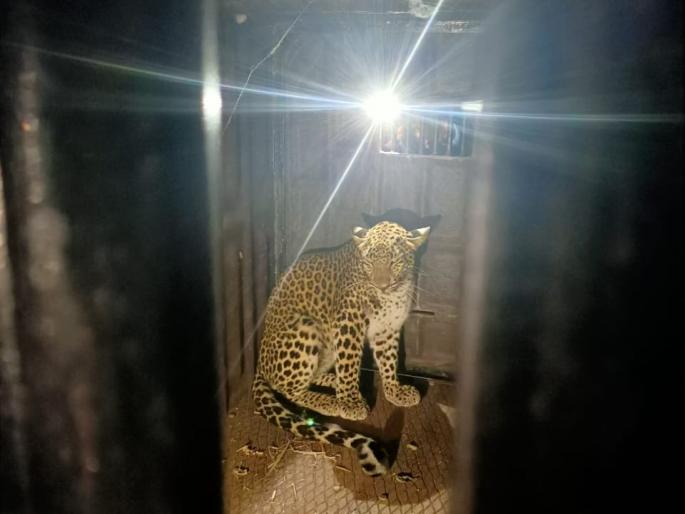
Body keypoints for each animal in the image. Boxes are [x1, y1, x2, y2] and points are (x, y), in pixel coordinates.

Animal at [252, 220, 431, 476]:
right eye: (369, 262)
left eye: (394, 262)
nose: (381, 286)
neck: (392, 295)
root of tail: (259, 359)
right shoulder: (349, 320)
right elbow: (349, 363)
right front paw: (350, 402)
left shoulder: (387, 328)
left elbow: (388, 360)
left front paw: (394, 390)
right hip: (305, 328)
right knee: (288, 389)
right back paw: (331, 401)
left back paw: (334, 383)